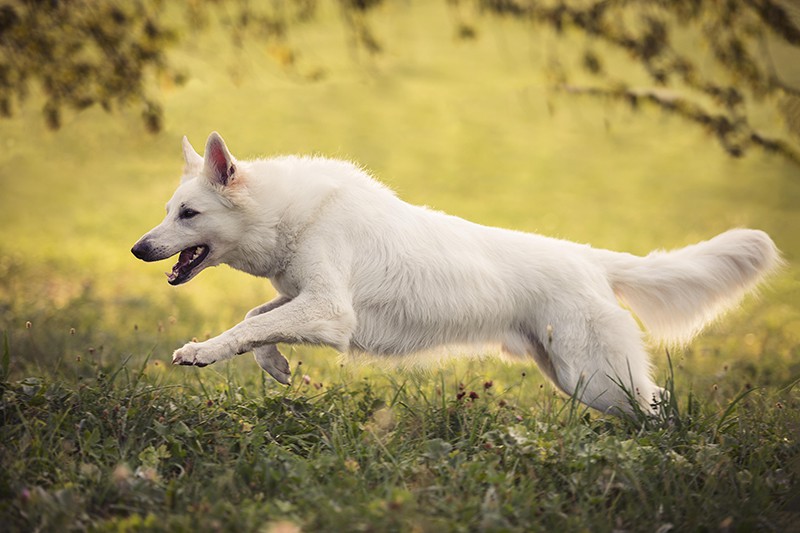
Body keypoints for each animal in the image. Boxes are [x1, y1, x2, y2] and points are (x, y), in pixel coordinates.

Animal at [131, 131, 780, 414]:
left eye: (188, 214)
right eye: (167, 210)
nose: (138, 249)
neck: (291, 212)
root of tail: (587, 257)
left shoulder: (331, 312)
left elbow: (245, 326)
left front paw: (201, 352)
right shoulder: (304, 302)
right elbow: (256, 320)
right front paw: (276, 367)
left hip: (597, 378)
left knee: (661, 409)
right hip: (579, 379)